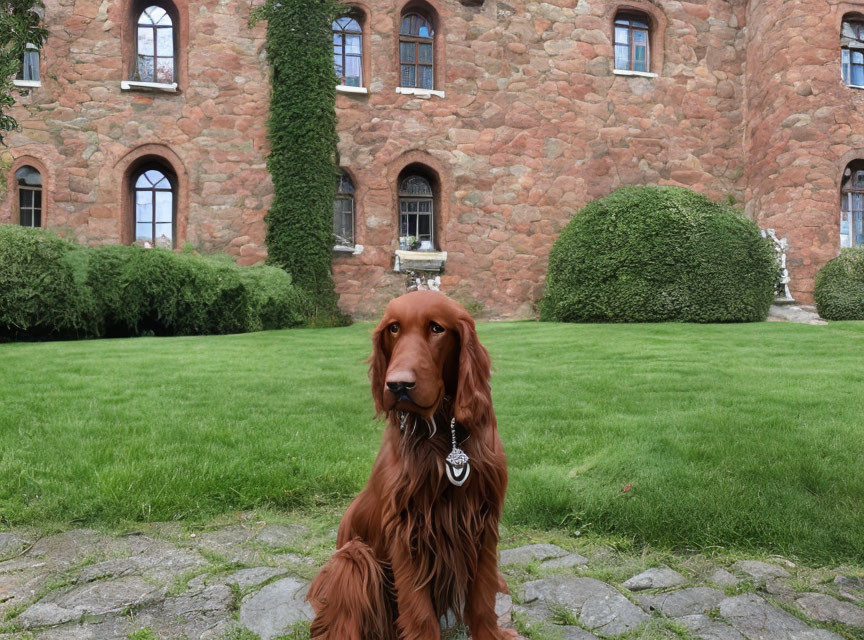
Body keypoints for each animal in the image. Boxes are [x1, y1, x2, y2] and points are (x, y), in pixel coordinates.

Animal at [308, 292, 510, 640]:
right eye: (393, 328)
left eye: (437, 328)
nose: (398, 386)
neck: (442, 435)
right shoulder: (407, 531)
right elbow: (419, 613)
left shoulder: (482, 522)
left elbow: (483, 598)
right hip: (353, 558)